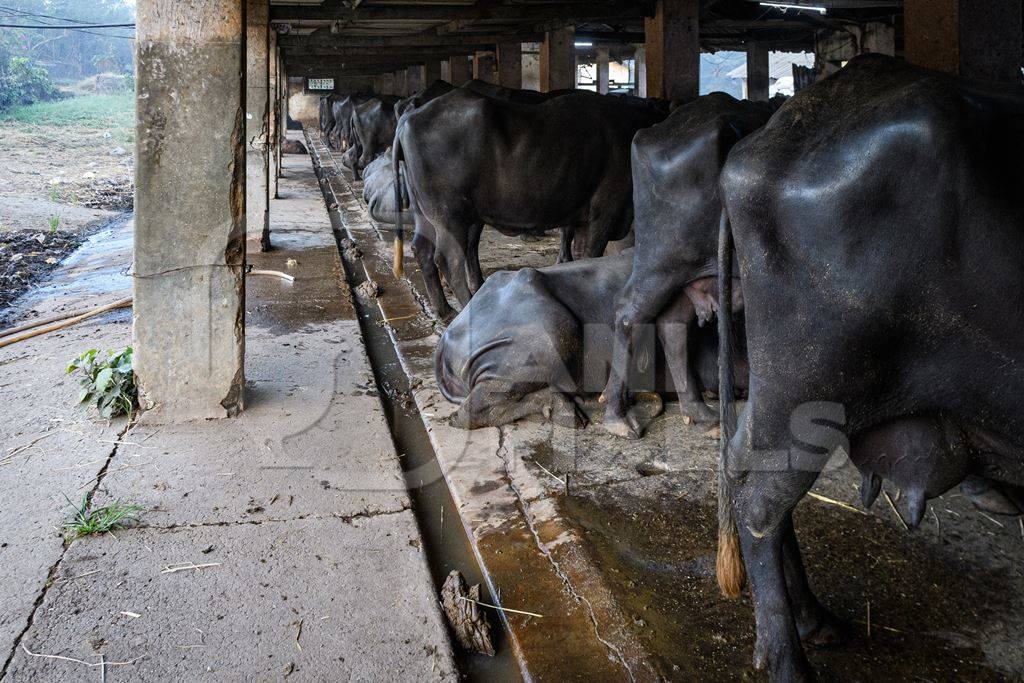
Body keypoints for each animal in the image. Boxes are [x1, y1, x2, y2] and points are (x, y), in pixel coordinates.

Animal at [391, 87, 663, 317]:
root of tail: (409, 118)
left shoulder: (582, 217)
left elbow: (580, 257)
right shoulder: (604, 214)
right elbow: (591, 256)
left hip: (427, 214)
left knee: (424, 250)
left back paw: (444, 310)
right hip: (449, 216)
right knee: (449, 259)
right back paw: (467, 306)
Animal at [598, 92, 770, 438]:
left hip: (690, 271)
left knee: (673, 323)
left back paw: (699, 412)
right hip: (661, 263)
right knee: (629, 313)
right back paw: (617, 416)